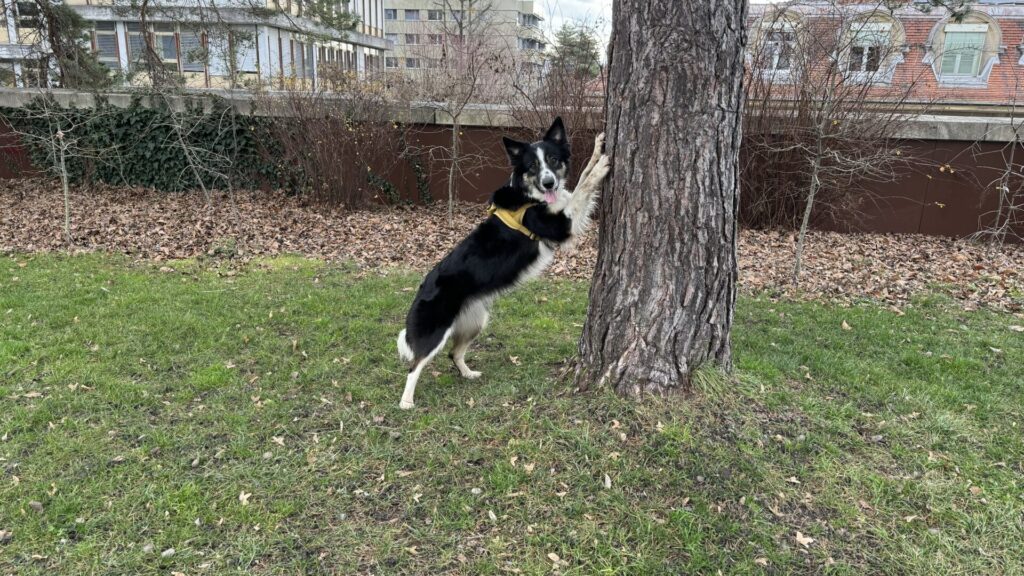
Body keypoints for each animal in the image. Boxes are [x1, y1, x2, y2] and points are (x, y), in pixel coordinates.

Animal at [395, 116, 610, 405]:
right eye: (532, 166)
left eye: (553, 160)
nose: (549, 183)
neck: (530, 196)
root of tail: (420, 291)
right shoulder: (560, 225)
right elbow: (581, 191)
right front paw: (602, 166)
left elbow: (581, 179)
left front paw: (597, 151)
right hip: (437, 329)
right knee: (415, 364)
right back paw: (406, 402)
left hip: (475, 322)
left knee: (454, 353)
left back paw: (468, 374)